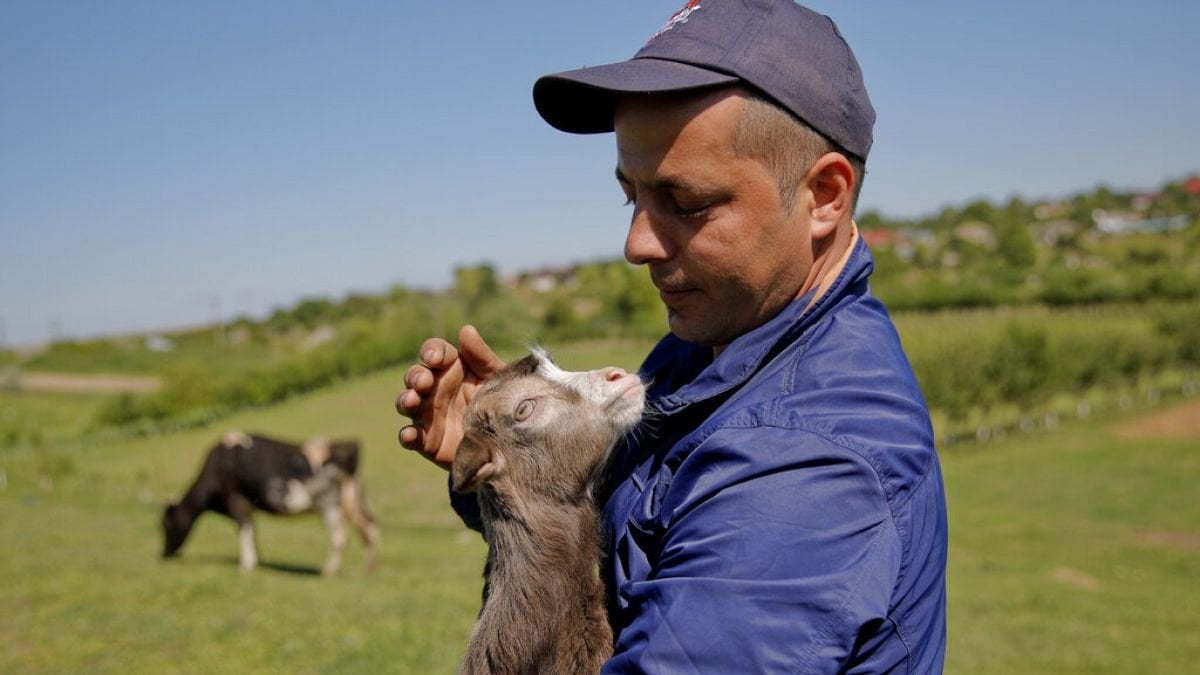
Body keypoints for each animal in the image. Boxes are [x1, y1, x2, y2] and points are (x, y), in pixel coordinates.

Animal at [162, 429, 379, 571]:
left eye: (166, 525)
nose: (163, 554)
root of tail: (346, 443)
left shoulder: (235, 501)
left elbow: (244, 531)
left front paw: (246, 566)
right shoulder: (247, 506)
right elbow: (251, 531)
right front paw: (257, 561)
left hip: (328, 505)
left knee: (340, 536)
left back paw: (329, 571)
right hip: (353, 501)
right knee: (370, 528)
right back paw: (368, 569)